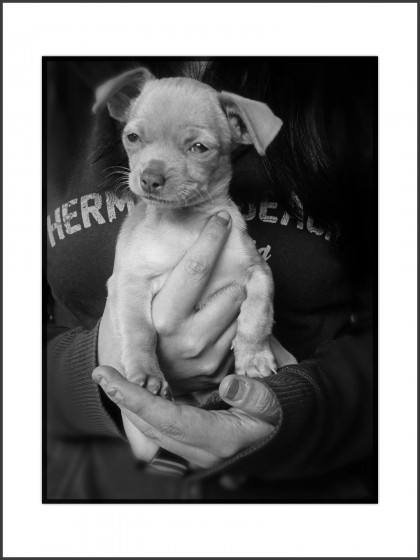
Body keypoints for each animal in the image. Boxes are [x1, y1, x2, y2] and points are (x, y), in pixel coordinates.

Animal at [94, 66, 296, 406]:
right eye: (133, 138)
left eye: (199, 148)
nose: (150, 178)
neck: (185, 225)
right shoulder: (130, 282)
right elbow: (140, 330)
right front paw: (147, 373)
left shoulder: (257, 272)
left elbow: (258, 313)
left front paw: (254, 356)